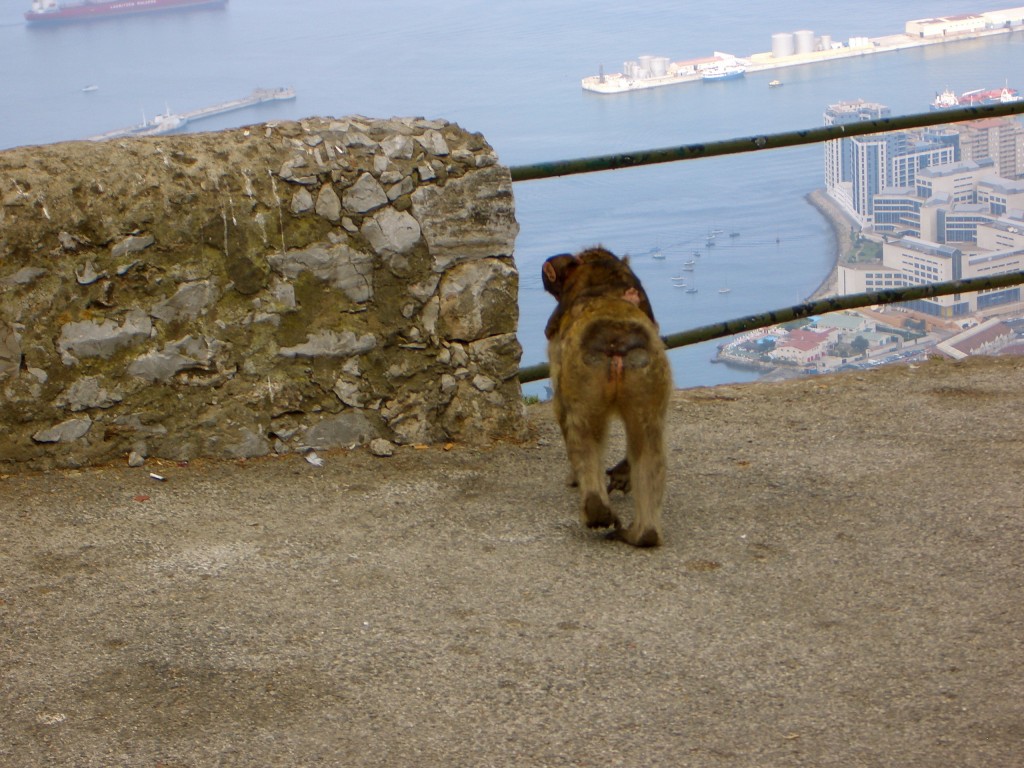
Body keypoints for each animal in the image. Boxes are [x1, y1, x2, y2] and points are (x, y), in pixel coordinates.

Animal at [540, 247, 675, 548]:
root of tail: (616, 337)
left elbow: (562, 412)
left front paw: (574, 479)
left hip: (584, 372)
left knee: (582, 429)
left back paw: (596, 511)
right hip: (647, 370)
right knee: (648, 439)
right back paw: (643, 534)